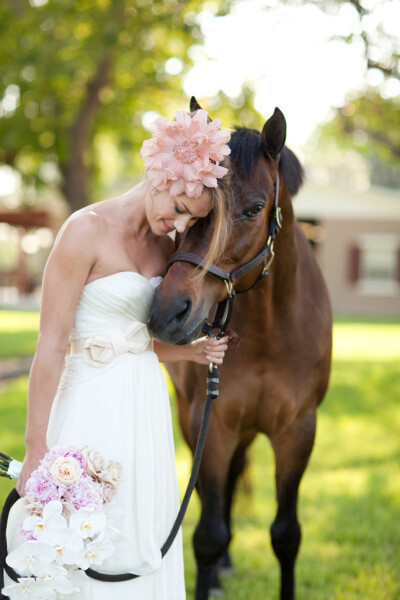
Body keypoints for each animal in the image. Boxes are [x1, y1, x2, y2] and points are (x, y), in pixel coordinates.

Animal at [148, 105, 332, 596]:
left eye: (252, 209)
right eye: (185, 209)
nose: (166, 312)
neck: (271, 333)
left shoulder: (297, 432)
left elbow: (287, 535)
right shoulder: (215, 426)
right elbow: (208, 535)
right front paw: (210, 572)